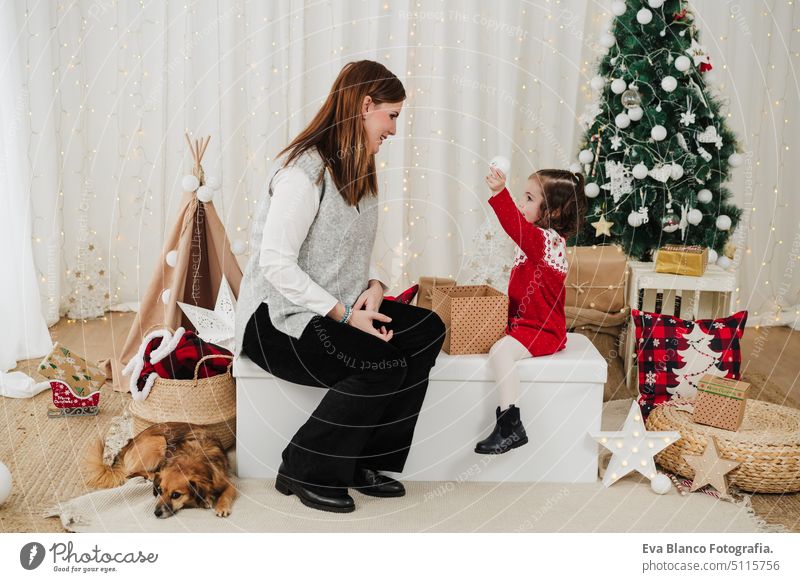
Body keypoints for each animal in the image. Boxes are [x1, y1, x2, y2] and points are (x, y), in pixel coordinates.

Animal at [87, 424, 238, 520]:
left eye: (176, 495)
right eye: (159, 491)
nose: (156, 513)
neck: (194, 457)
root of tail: (129, 443)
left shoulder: (228, 482)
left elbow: (226, 494)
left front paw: (221, 507)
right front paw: (205, 499)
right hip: (159, 441)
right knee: (129, 473)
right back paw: (151, 474)